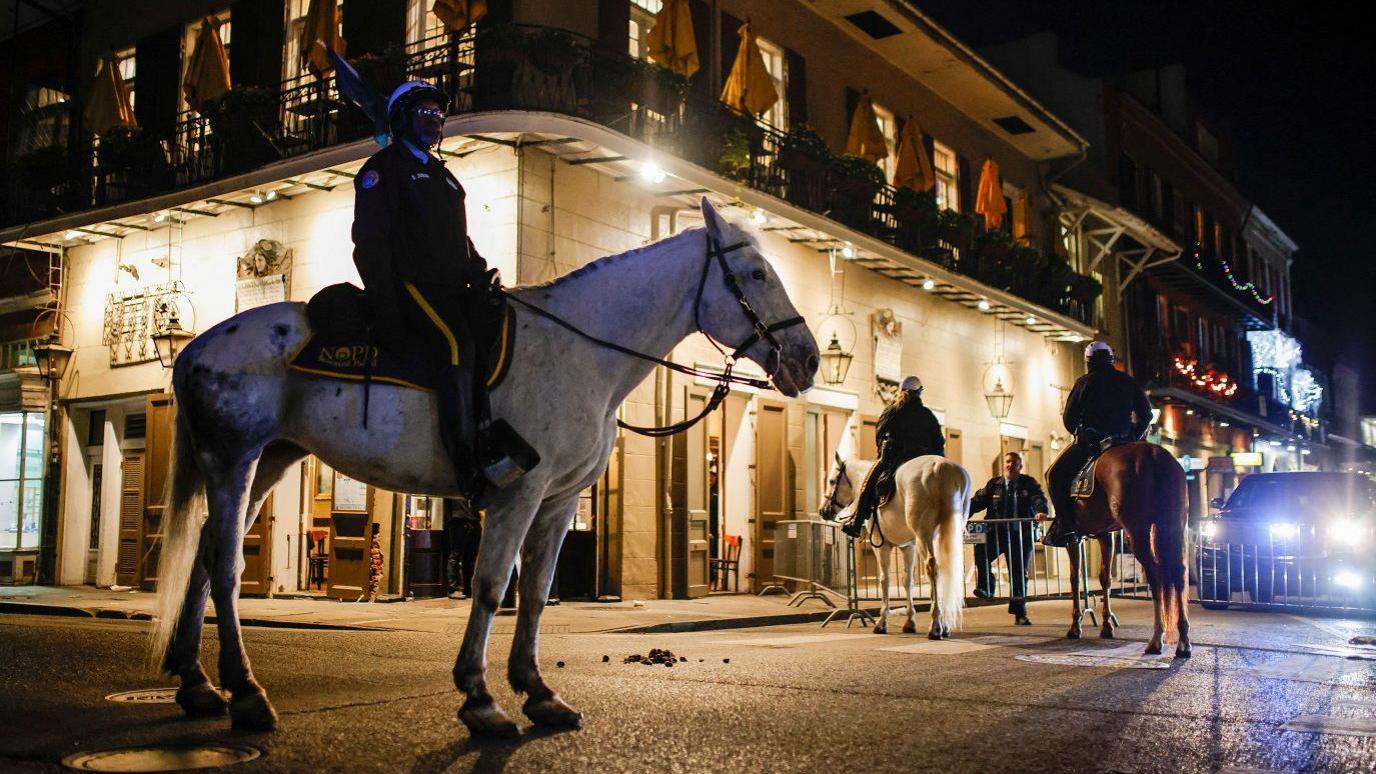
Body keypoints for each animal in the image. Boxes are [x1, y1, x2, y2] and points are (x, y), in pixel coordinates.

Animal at [150, 195, 814, 732]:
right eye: (755, 273)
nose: (806, 359)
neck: (581, 351)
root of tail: (196, 347)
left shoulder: (559, 500)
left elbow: (538, 591)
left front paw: (537, 691)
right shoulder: (520, 493)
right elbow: (493, 585)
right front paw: (480, 696)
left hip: (270, 461)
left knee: (206, 555)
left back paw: (197, 683)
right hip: (232, 459)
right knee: (225, 564)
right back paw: (244, 691)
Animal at [820, 448, 974, 636]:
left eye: (832, 480)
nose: (823, 511)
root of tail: (941, 467)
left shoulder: (881, 545)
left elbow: (884, 579)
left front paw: (882, 621)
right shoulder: (908, 547)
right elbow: (907, 581)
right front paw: (910, 621)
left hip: (924, 534)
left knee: (932, 566)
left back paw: (936, 625)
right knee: (946, 569)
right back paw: (943, 624)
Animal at [1062, 443, 1194, 652]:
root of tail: (1154, 454)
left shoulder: (1074, 539)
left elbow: (1075, 579)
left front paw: (1076, 626)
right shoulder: (1105, 534)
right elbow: (1105, 578)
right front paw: (1107, 625)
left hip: (1138, 533)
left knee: (1155, 575)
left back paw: (1157, 638)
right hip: (1174, 526)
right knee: (1179, 574)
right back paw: (1183, 642)